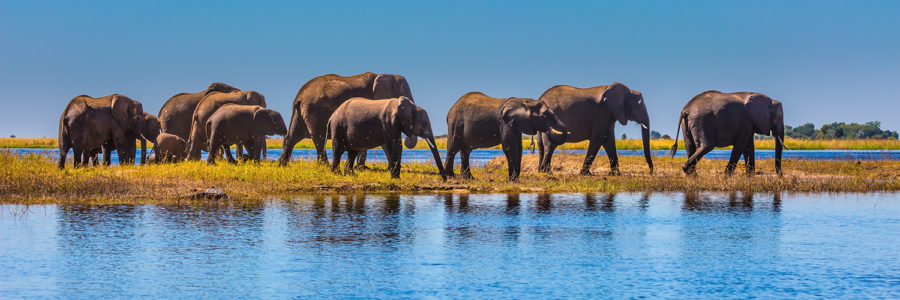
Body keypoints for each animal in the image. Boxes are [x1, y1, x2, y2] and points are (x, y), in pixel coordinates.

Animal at [278, 72, 414, 166]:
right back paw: (324, 166)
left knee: (293, 136)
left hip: (301, 113)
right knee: (319, 138)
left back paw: (282, 164)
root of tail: (298, 97)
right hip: (314, 112)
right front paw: (362, 168)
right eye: (402, 97)